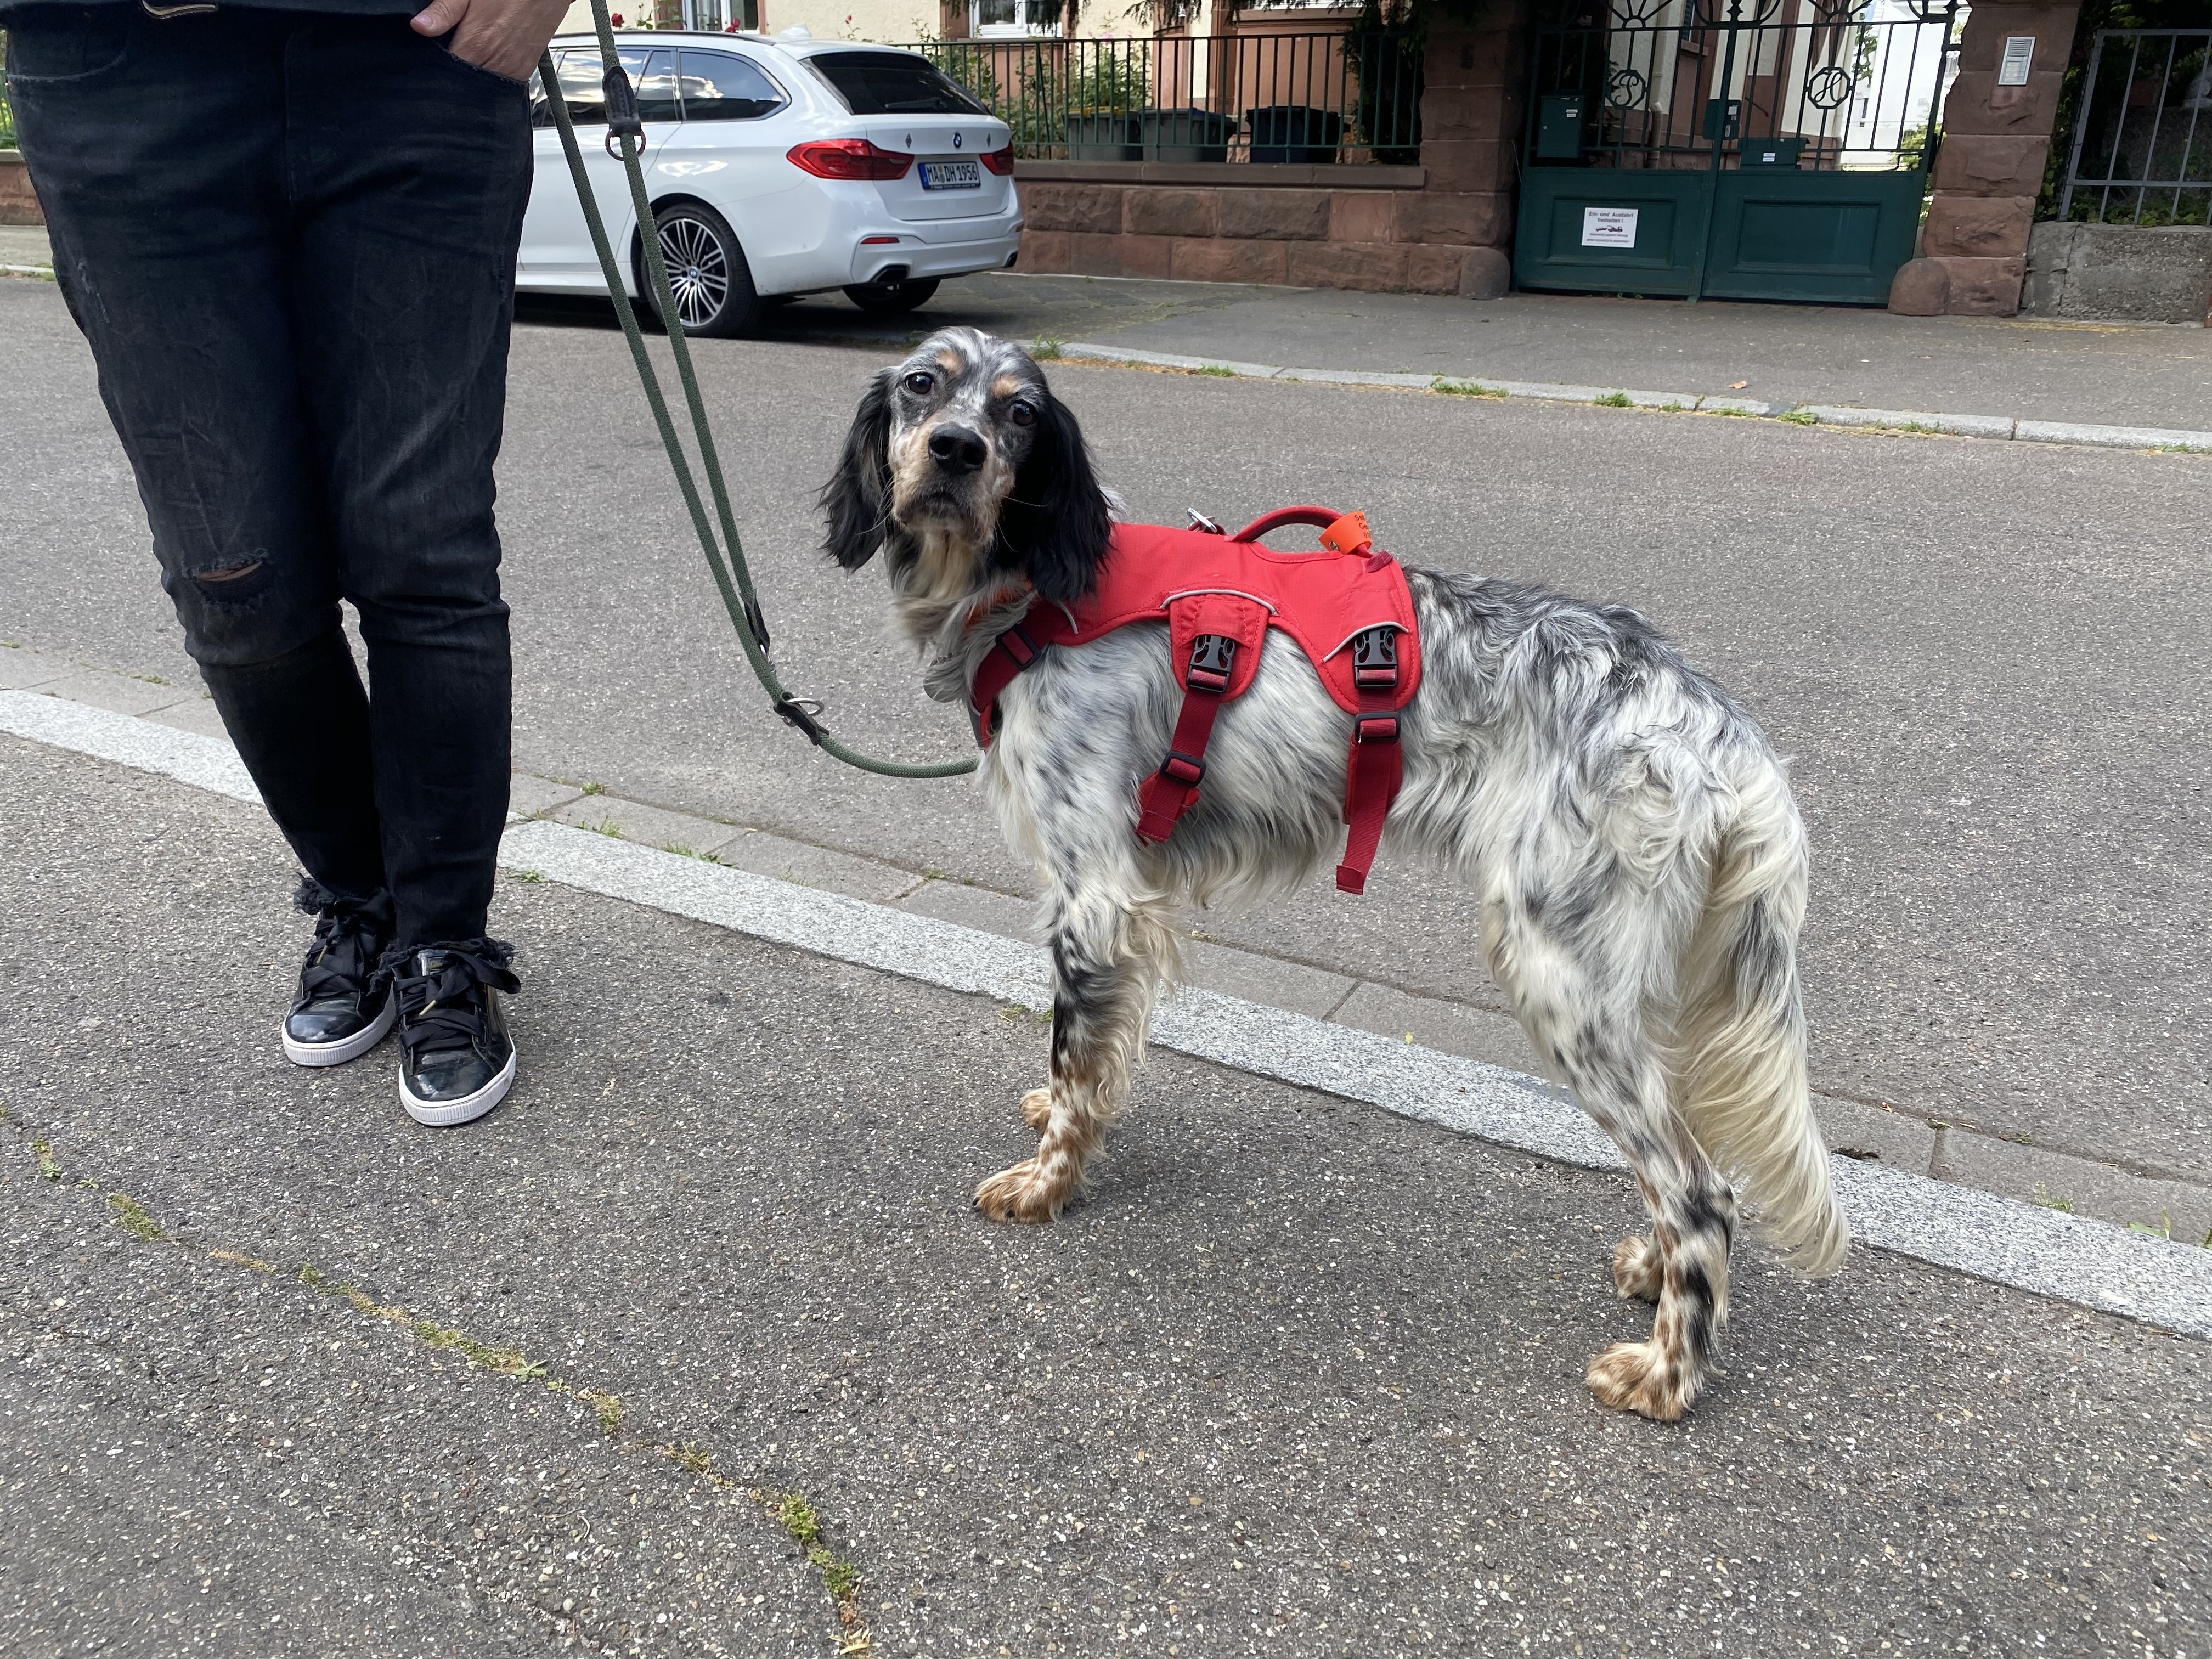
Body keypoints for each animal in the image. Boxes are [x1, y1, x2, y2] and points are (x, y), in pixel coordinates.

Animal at [820, 327, 1846, 1421]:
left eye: (1017, 411)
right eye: (922, 386)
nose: (956, 450)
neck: (1039, 591)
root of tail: (1716, 720)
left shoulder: (1093, 895)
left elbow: (1071, 1053)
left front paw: (1048, 1180)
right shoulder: (1122, 903)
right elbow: (1096, 1061)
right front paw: (1066, 1120)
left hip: (1560, 975)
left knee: (1699, 1192)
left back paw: (1666, 1370)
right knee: (1697, 1174)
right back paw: (1653, 1274)